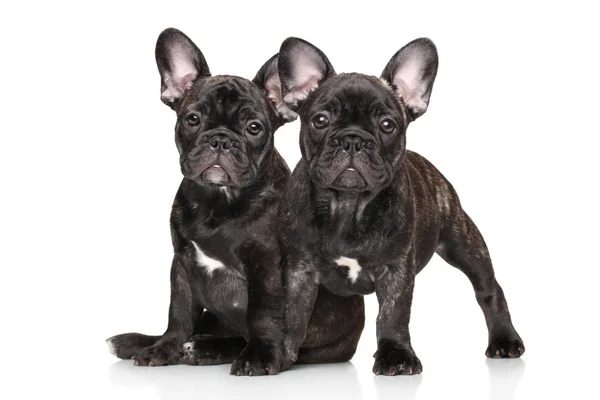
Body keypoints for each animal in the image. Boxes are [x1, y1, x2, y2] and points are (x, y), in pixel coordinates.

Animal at [105, 28, 364, 376]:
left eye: (254, 128)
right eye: (192, 119)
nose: (220, 139)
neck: (218, 202)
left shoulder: (266, 265)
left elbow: (262, 314)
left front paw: (258, 357)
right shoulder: (182, 262)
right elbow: (179, 312)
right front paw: (164, 348)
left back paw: (208, 348)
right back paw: (140, 342)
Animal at [276, 36, 524, 376]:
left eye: (387, 125)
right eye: (320, 120)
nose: (353, 140)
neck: (347, 205)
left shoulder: (396, 270)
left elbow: (393, 315)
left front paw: (396, 355)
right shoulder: (299, 269)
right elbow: (291, 313)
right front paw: (273, 353)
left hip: (463, 243)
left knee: (489, 289)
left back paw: (505, 340)